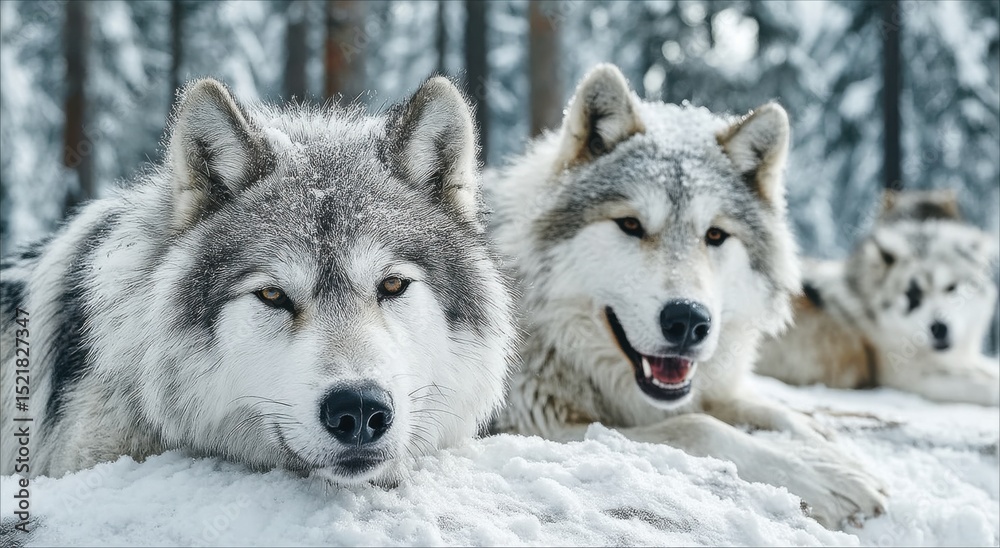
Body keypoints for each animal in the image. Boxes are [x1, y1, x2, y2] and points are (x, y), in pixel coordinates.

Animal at [488, 64, 887, 529]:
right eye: (630, 225)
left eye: (714, 235)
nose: (688, 320)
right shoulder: (534, 425)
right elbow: (699, 427)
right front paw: (822, 478)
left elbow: (775, 412)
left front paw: (834, 453)